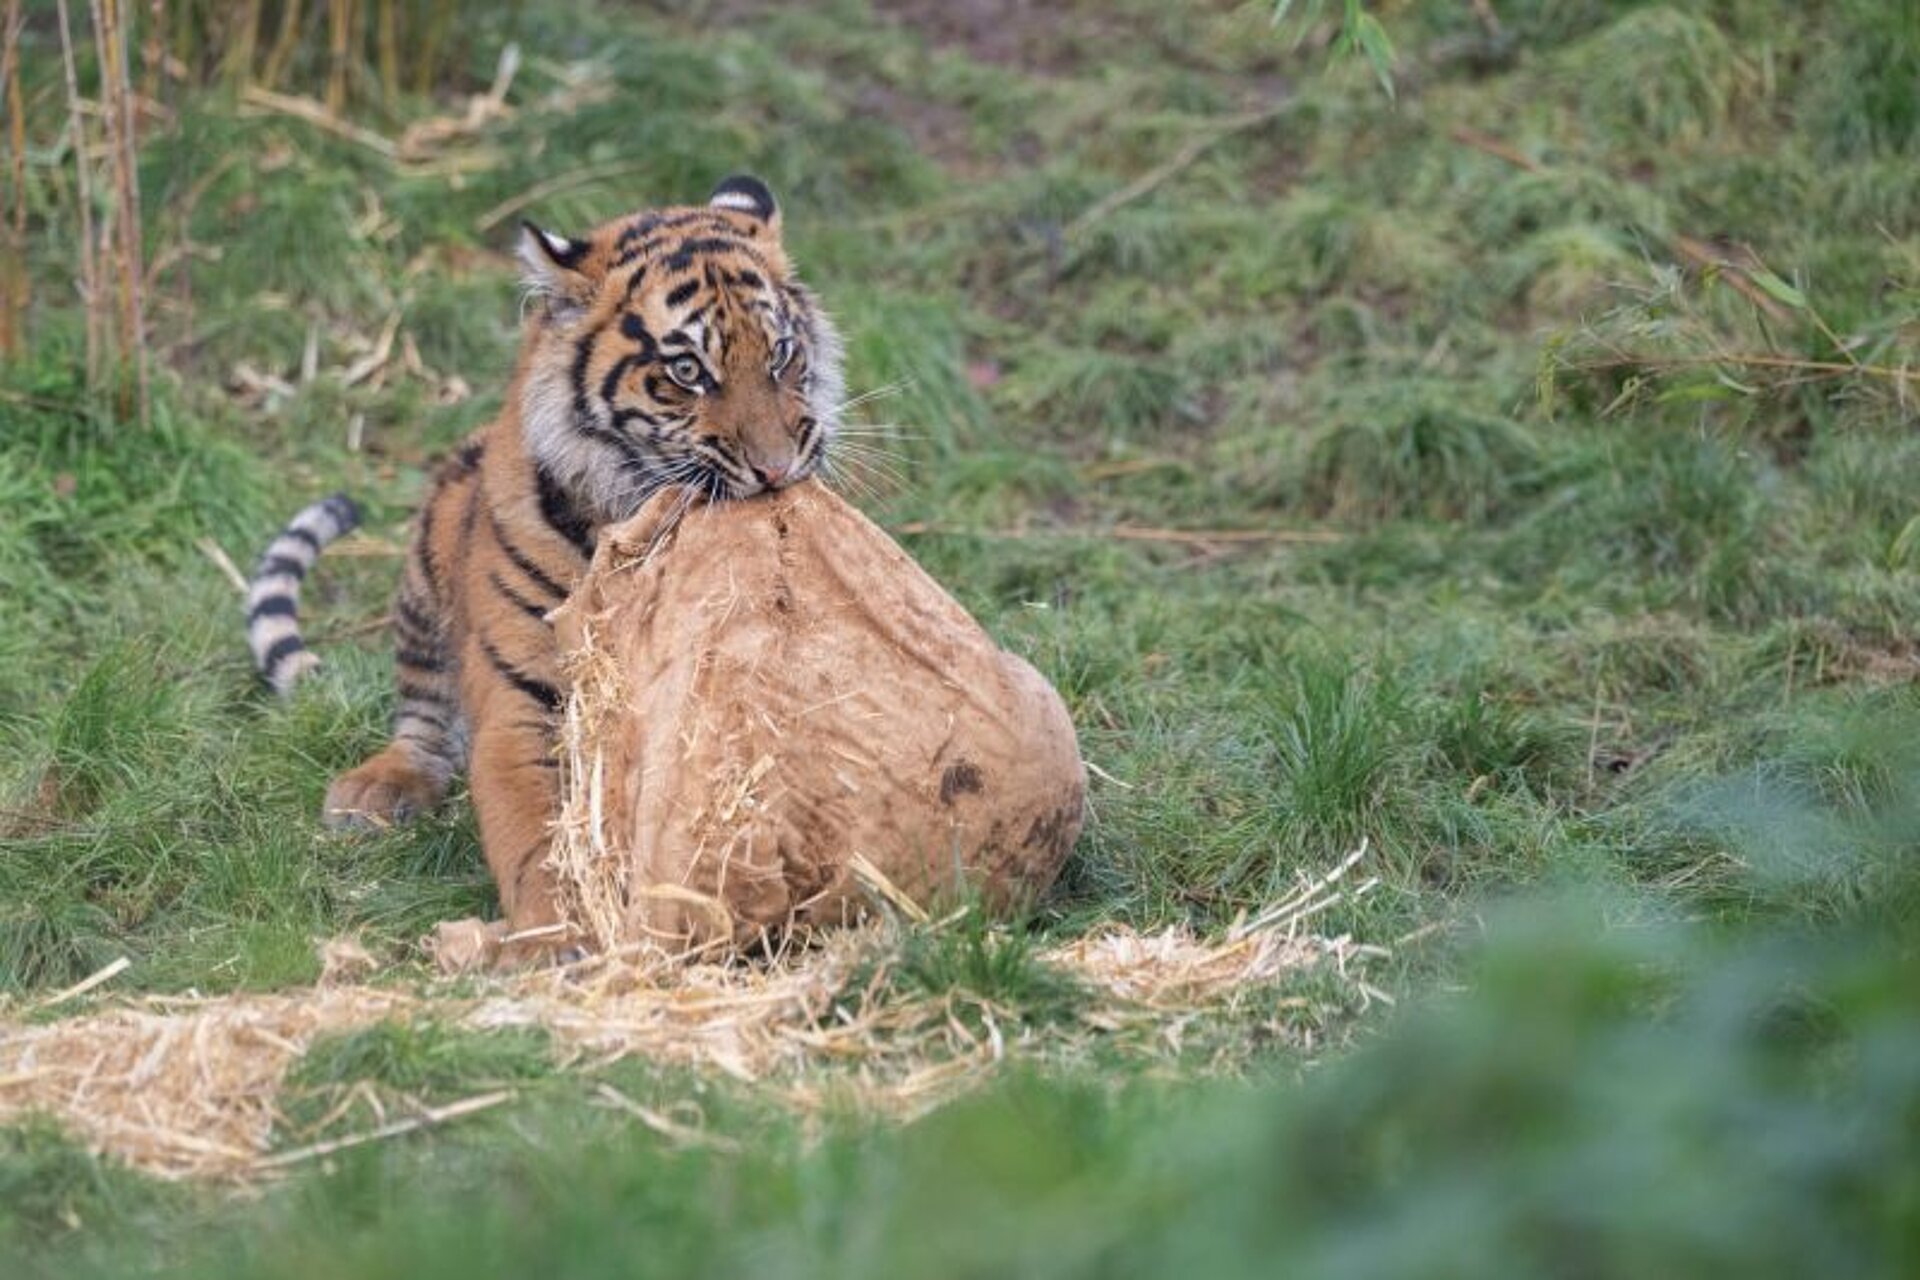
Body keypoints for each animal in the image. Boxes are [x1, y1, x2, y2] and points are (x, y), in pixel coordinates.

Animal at [245, 175, 845, 959]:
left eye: (780, 354)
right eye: (686, 371)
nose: (776, 471)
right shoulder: (518, 699)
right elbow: (536, 832)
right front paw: (559, 938)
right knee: (422, 718)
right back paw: (378, 789)